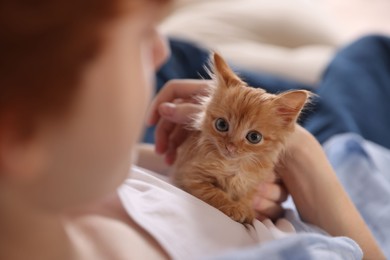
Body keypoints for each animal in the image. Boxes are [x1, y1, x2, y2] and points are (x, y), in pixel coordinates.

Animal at [172, 52, 310, 223]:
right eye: (221, 125)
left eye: (254, 137)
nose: (230, 146)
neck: (234, 166)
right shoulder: (190, 175)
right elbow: (215, 192)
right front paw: (234, 208)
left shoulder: (254, 183)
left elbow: (247, 196)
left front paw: (246, 210)